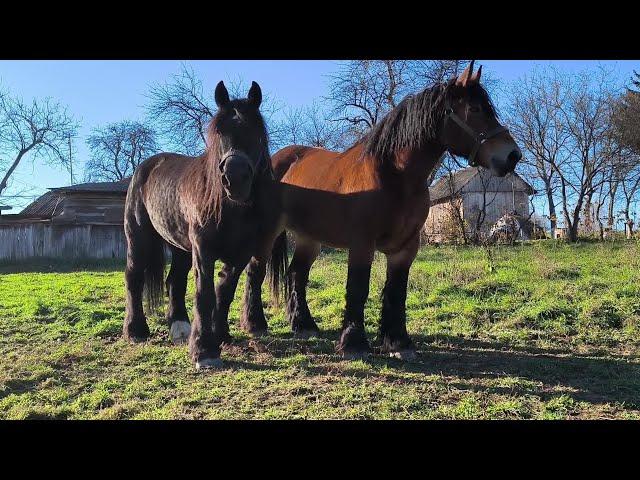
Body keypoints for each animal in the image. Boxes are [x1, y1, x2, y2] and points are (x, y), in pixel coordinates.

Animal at [122, 82, 284, 370]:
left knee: (174, 281)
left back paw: (179, 328)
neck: (231, 208)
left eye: (257, 133)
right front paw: (204, 350)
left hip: (180, 247)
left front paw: (220, 335)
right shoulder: (203, 250)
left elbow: (225, 290)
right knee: (134, 277)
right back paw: (136, 331)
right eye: (218, 132)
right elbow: (204, 294)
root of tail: (146, 166)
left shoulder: (241, 253)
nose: (235, 178)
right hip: (138, 237)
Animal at [222, 62, 524, 358]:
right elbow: (358, 288)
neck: (395, 176)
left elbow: (396, 291)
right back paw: (255, 324)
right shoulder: (362, 244)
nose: (512, 155)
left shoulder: (406, 247)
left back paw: (304, 325)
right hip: (268, 233)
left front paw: (398, 342)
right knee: (255, 272)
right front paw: (353, 343)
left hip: (310, 238)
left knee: (296, 274)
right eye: (475, 109)